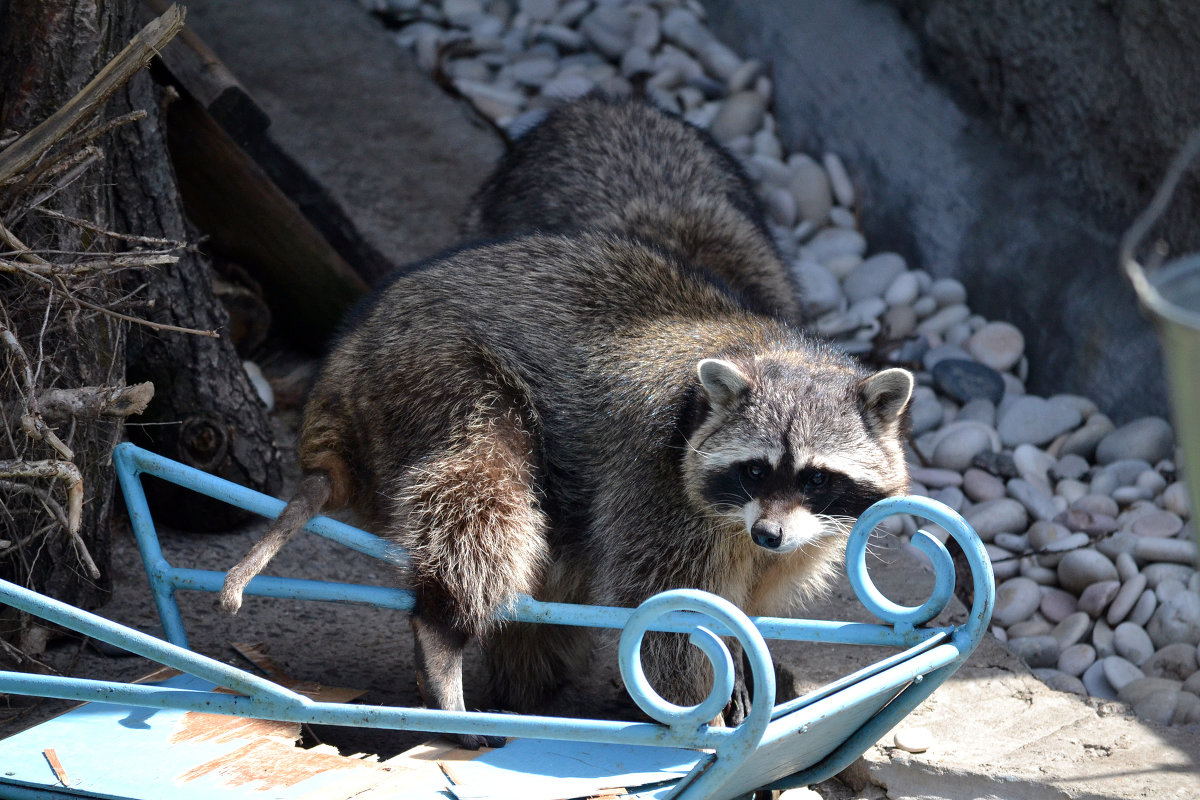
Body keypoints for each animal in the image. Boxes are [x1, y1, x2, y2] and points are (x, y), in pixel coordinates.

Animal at [220, 227, 907, 748]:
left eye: (816, 477)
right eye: (756, 470)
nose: (769, 533)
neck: (767, 348)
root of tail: (344, 366)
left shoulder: (794, 537)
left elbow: (740, 603)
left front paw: (740, 652)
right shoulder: (657, 482)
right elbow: (663, 609)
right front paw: (702, 713)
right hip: (434, 375)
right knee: (481, 491)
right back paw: (443, 633)